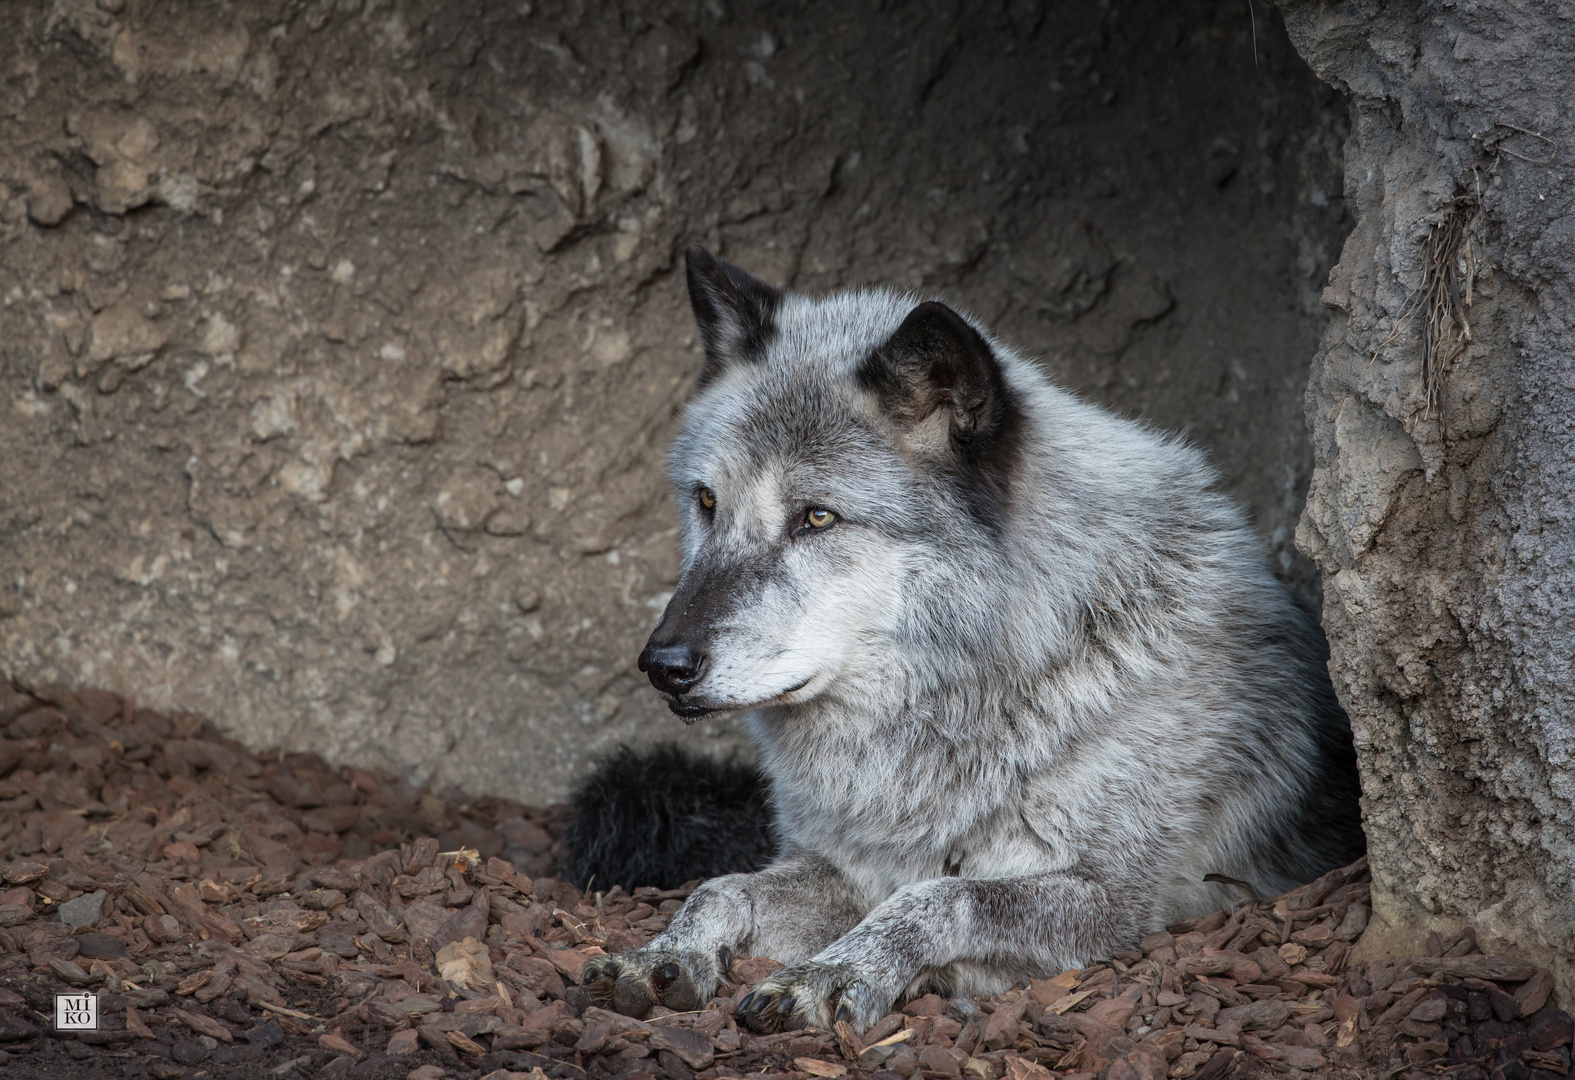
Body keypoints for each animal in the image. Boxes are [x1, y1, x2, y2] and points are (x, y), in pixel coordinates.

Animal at [579, 245, 1367, 1032]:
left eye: (817, 518)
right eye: (706, 502)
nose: (663, 665)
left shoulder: (1121, 903)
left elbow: (939, 897)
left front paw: (836, 972)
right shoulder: (845, 864)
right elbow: (720, 886)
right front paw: (662, 955)